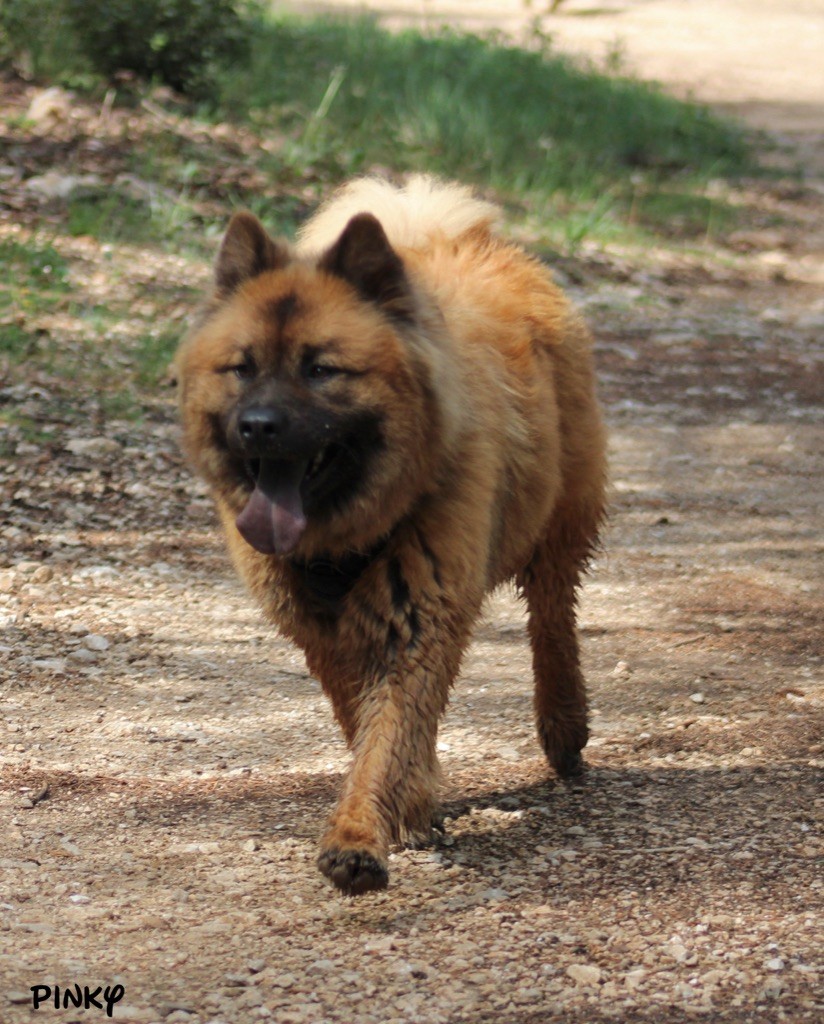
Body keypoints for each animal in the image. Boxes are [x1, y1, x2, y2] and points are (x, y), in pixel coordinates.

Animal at [175, 178, 605, 897]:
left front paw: (357, 843)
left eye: (321, 369)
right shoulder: (327, 636)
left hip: (559, 526)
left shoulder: (418, 620)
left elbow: (386, 740)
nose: (257, 425)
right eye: (242, 368)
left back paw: (564, 726)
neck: (343, 538)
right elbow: (370, 732)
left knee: (552, 623)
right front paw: (408, 806)